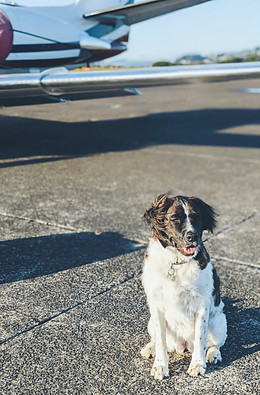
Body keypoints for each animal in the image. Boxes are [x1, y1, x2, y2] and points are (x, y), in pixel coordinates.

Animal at [141, 195, 226, 380]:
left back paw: (213, 355)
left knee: (215, 344)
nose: (192, 236)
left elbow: (201, 338)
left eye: (196, 217)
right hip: (150, 322)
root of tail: (184, 345)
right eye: (175, 219)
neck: (177, 262)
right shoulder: (156, 306)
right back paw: (150, 348)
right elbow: (160, 341)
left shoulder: (202, 306)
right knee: (157, 340)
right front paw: (160, 365)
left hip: (218, 323)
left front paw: (198, 364)